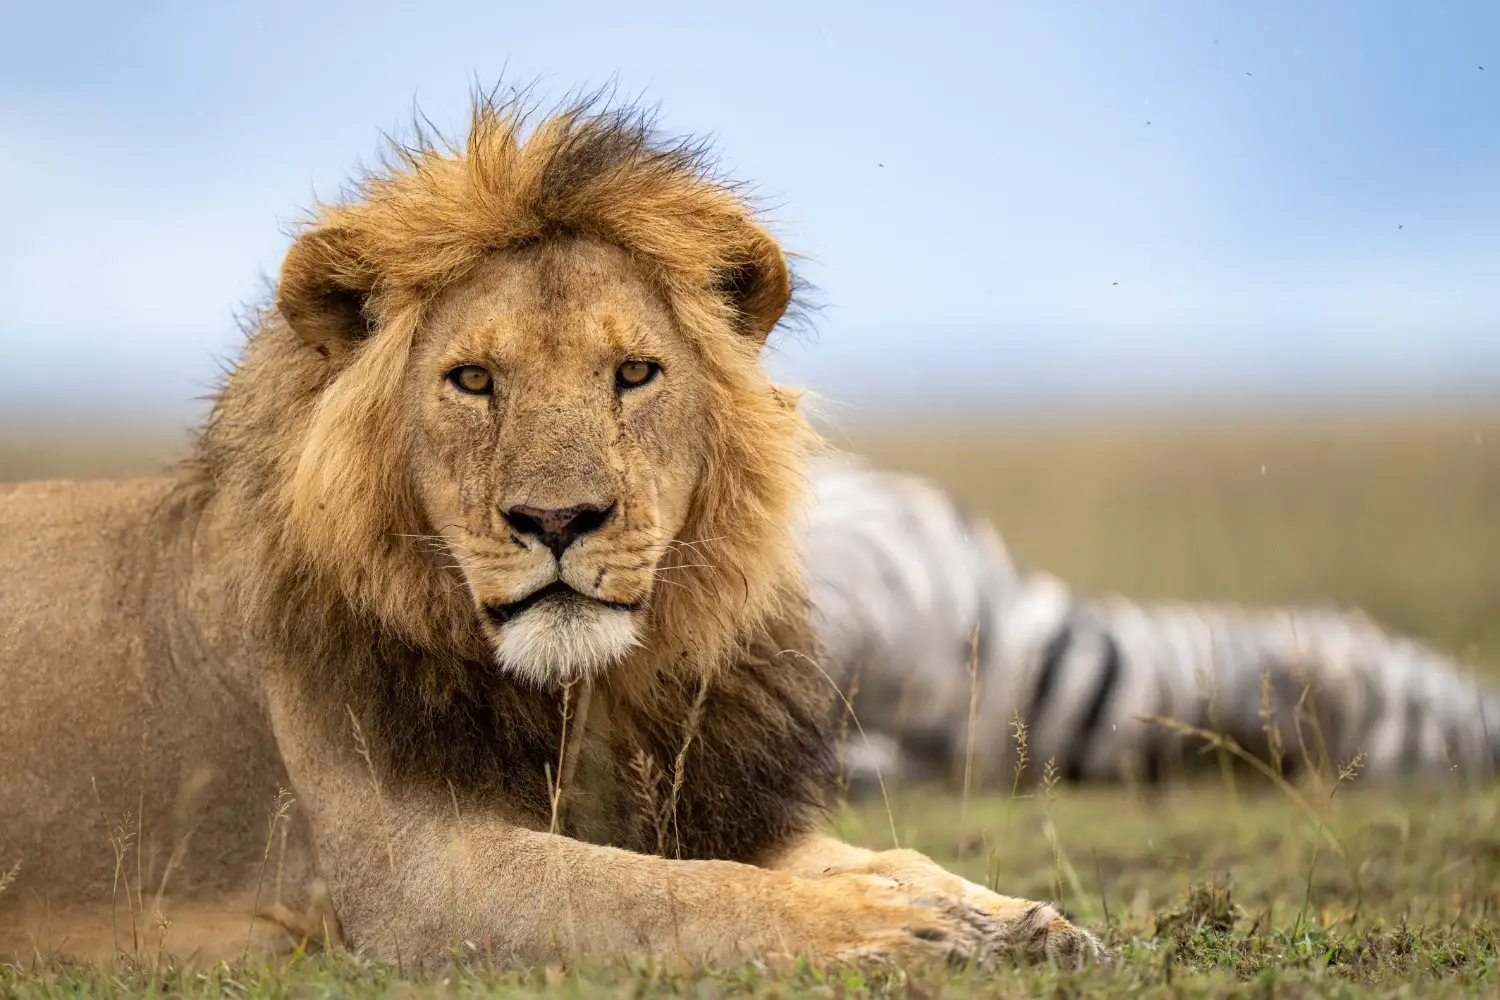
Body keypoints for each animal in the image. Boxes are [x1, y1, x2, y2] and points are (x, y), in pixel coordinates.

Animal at [0, 95, 1102, 969]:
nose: (559, 519)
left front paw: (1012, 917)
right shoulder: (411, 879)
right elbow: (673, 891)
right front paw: (898, 928)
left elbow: (876, 855)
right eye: (473, 380)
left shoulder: (691, 796)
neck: (588, 693)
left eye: (635, 373)